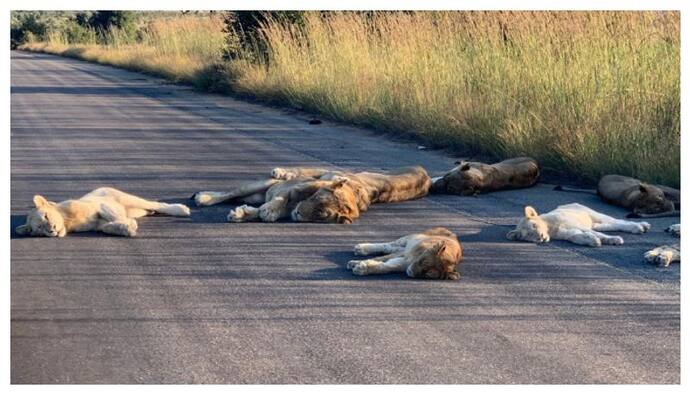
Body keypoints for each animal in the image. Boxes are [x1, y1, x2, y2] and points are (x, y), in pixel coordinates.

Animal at [14, 188, 191, 237]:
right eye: (39, 228)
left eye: (46, 216)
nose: (52, 230)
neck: (67, 222)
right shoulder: (97, 225)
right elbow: (106, 227)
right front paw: (126, 228)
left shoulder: (99, 205)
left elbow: (111, 214)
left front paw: (128, 225)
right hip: (136, 210)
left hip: (127, 198)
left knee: (157, 203)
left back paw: (182, 209)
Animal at [502, 203, 648, 246]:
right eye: (529, 235)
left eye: (534, 226)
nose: (541, 238)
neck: (550, 229)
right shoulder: (568, 233)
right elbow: (577, 237)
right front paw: (592, 241)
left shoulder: (575, 225)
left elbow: (599, 234)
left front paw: (614, 239)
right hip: (596, 223)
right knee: (611, 226)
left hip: (594, 214)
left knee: (619, 221)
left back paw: (641, 226)